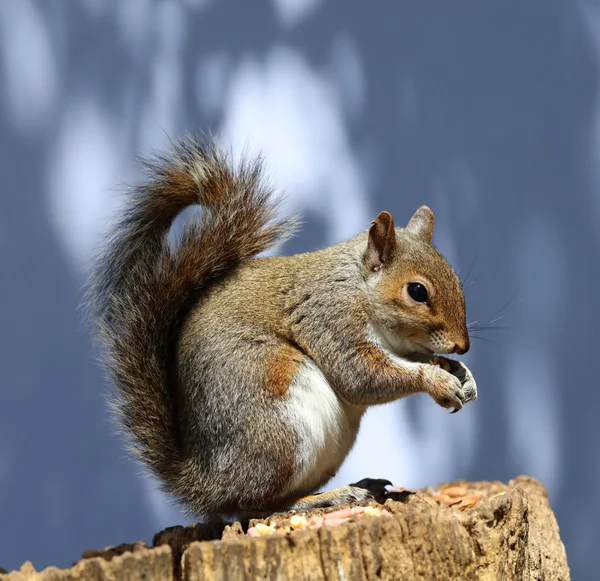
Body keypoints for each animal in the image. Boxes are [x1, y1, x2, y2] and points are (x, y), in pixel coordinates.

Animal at [85, 138, 478, 520]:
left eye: (456, 279)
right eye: (417, 291)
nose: (463, 346)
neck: (357, 287)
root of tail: (206, 480)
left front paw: (461, 373)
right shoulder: (330, 320)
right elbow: (361, 375)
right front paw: (437, 381)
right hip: (281, 427)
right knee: (254, 504)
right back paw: (326, 498)